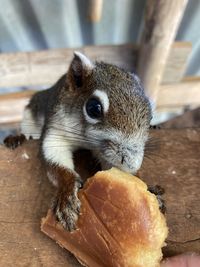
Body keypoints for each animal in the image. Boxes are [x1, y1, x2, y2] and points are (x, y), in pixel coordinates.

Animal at [3, 51, 152, 230]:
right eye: (93, 108)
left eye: (151, 116)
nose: (132, 164)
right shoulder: (55, 130)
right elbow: (57, 163)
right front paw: (67, 196)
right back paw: (16, 138)